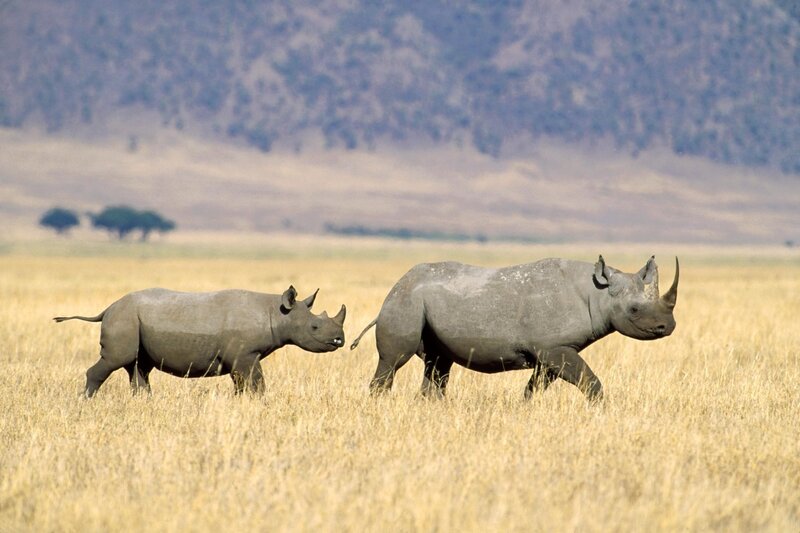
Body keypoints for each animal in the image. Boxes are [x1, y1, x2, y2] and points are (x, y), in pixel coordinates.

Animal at [54, 286, 346, 397]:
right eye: (314, 327)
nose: (339, 340)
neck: (276, 312)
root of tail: (108, 308)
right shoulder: (245, 355)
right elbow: (256, 382)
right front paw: (259, 402)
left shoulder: (241, 357)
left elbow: (243, 384)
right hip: (123, 319)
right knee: (115, 360)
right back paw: (85, 401)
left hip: (132, 320)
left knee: (139, 367)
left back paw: (144, 402)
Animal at [350, 255, 678, 401]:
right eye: (634, 310)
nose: (668, 326)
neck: (597, 293)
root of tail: (396, 286)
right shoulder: (553, 348)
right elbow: (591, 382)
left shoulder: (552, 351)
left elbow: (535, 386)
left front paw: (526, 408)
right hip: (403, 302)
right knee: (394, 361)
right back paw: (379, 404)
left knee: (438, 362)